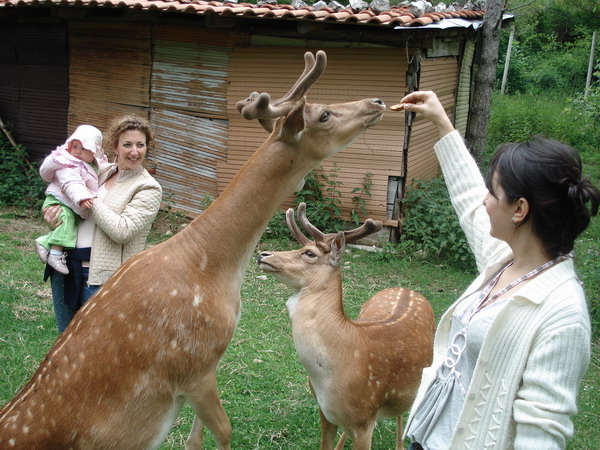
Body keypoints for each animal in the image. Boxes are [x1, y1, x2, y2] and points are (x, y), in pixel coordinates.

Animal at [0, 51, 384, 448]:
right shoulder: (193, 365)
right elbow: (224, 431)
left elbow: (194, 439)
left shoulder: (209, 365)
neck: (214, 266)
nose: (377, 101)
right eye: (324, 114)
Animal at [255, 202, 434, 448]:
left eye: (309, 253)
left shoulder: (365, 418)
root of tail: (408, 290)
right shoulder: (324, 411)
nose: (262, 254)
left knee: (402, 411)